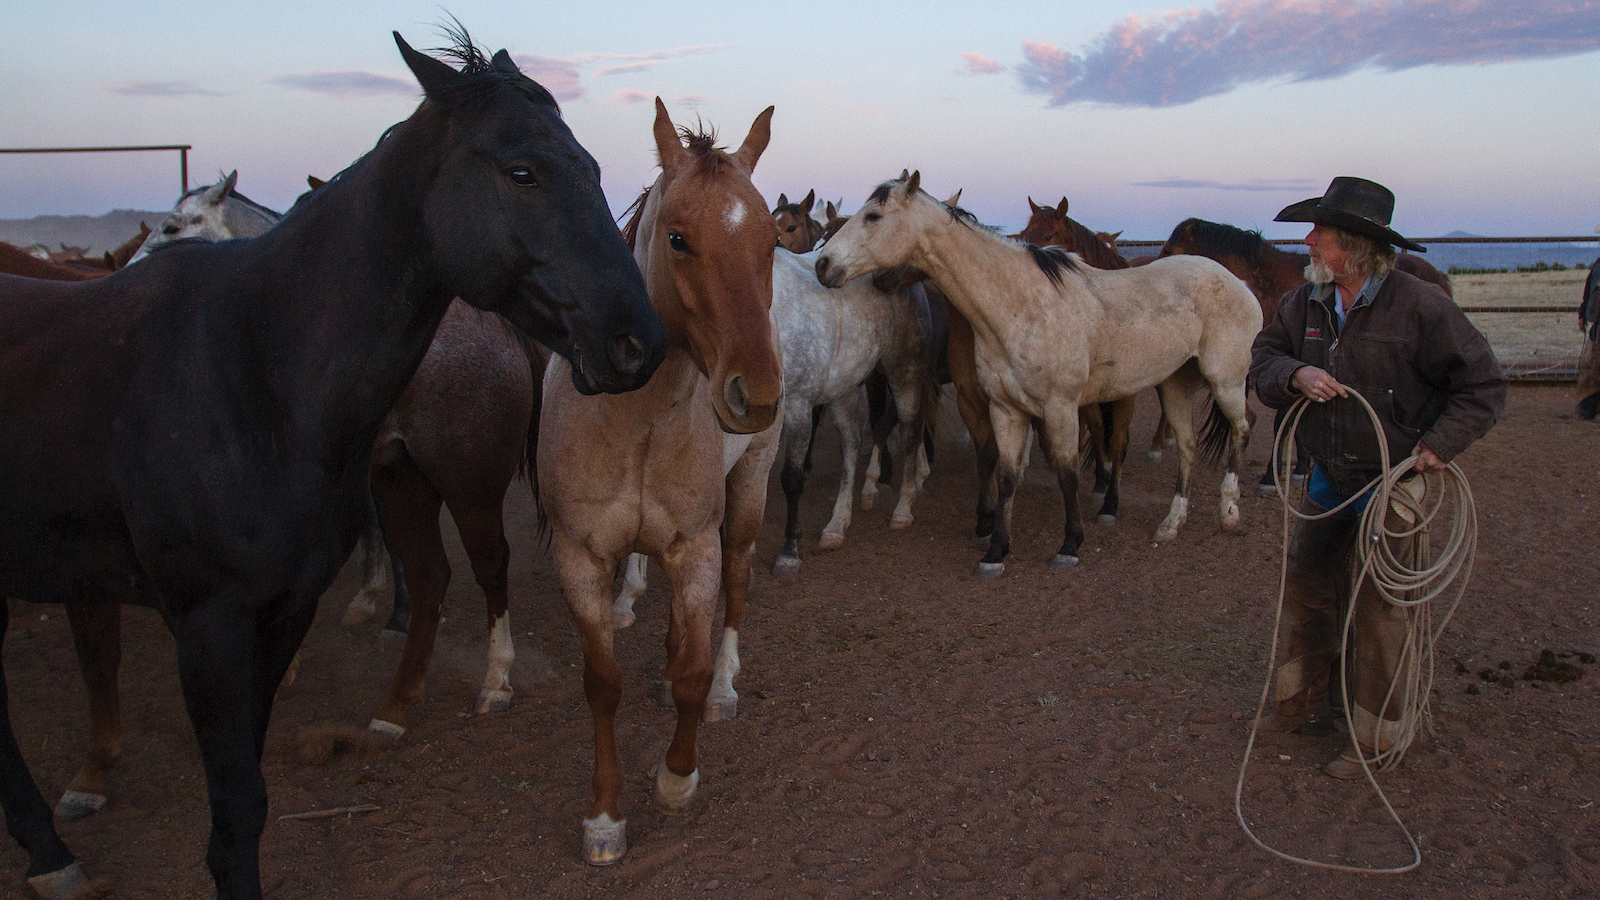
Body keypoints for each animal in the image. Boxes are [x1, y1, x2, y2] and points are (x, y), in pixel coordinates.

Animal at [0, 28, 666, 900]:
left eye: (587, 167)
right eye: (523, 171)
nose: (638, 340)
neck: (251, 362)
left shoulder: (237, 612)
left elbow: (234, 791)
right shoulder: (200, 610)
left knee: (481, 566)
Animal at [536, 98, 782, 865]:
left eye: (772, 237)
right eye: (678, 238)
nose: (756, 394)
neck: (635, 422)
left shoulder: (696, 545)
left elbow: (696, 673)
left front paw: (676, 778)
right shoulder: (580, 559)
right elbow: (602, 683)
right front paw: (604, 818)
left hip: (751, 487)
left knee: (738, 584)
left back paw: (728, 682)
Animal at [816, 172, 1257, 578]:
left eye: (873, 216)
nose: (823, 264)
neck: (1020, 304)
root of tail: (1238, 284)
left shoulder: (1060, 409)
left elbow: (1067, 474)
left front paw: (1070, 545)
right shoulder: (1005, 409)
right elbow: (1006, 475)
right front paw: (995, 549)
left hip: (1224, 381)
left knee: (1241, 428)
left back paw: (1229, 511)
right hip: (1174, 385)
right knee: (1188, 445)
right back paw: (1172, 523)